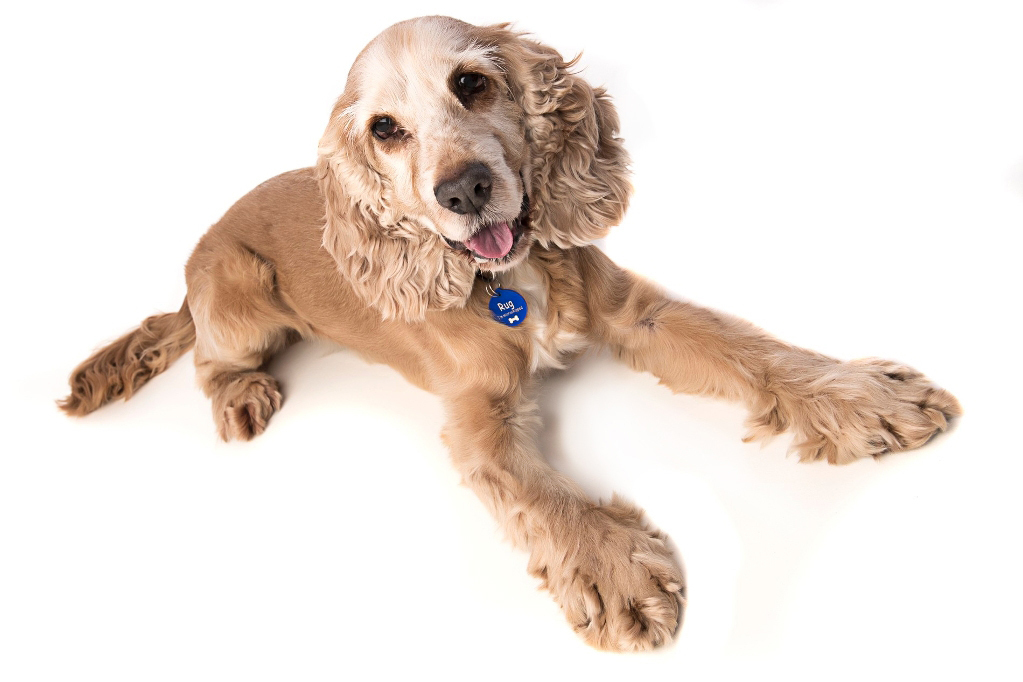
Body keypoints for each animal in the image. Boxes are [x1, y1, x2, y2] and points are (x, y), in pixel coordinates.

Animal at [59, 16, 961, 651]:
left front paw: (856, 396)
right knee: (209, 357)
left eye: (472, 83)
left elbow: (745, 347)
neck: (510, 277)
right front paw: (614, 573)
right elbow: (542, 494)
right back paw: (240, 393)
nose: (463, 189)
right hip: (238, 295)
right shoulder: (476, 419)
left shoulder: (634, 312)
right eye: (385, 128)